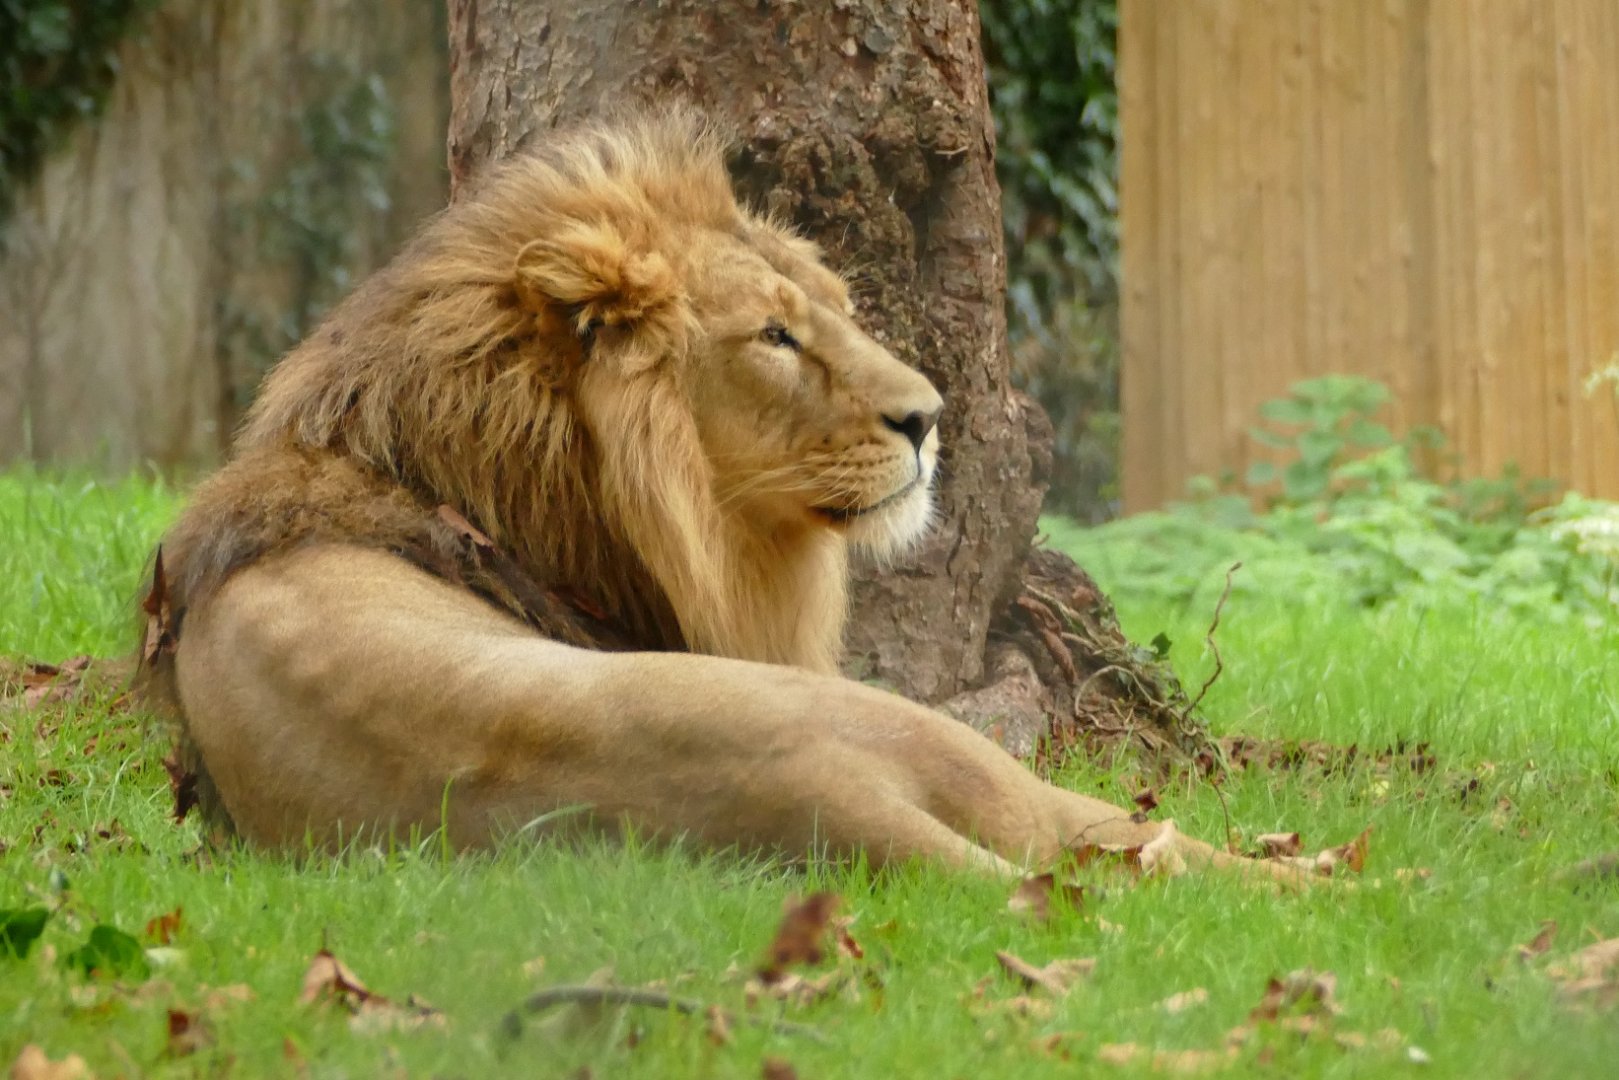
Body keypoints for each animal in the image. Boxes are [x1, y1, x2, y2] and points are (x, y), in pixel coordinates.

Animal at [142, 112, 1282, 880]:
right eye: (774, 336)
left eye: (836, 309)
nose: (928, 418)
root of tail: (821, 801)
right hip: (940, 747)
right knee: (1143, 847)